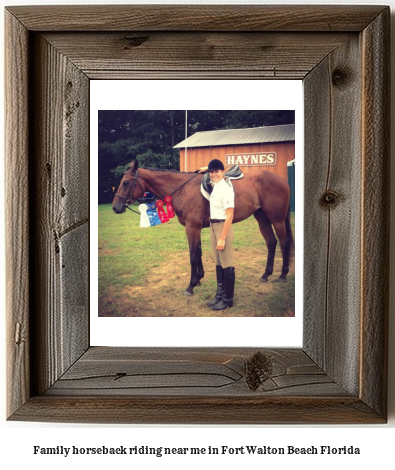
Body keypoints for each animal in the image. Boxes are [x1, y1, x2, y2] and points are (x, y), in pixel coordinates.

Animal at [112, 160, 294, 296]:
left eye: (126, 182)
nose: (115, 207)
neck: (182, 189)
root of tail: (282, 180)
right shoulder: (196, 228)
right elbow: (198, 253)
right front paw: (199, 279)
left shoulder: (192, 227)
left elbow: (193, 255)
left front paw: (191, 286)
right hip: (262, 217)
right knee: (271, 242)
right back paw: (266, 275)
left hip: (277, 219)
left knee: (283, 242)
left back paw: (282, 275)